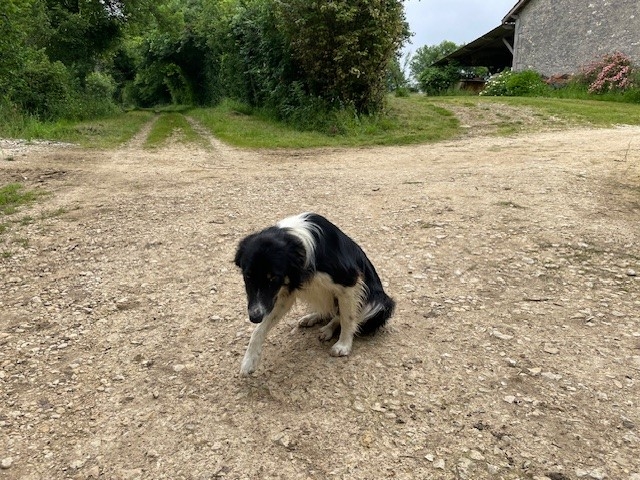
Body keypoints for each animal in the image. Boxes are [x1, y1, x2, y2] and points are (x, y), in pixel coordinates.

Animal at [235, 213, 396, 376]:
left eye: (273, 278)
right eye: (247, 276)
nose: (254, 317)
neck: (294, 241)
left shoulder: (350, 282)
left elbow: (348, 318)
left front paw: (343, 345)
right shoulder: (283, 293)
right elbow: (259, 329)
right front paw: (249, 361)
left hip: (380, 303)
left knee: (345, 315)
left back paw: (328, 329)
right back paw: (313, 318)